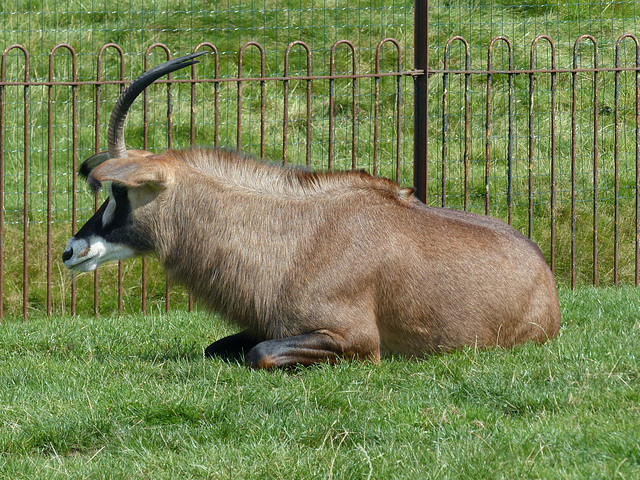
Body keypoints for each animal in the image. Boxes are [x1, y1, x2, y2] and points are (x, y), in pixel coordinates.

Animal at [62, 53, 556, 368]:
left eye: (121, 192)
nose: (71, 251)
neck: (296, 239)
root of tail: (545, 275)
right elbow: (217, 347)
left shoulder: (355, 339)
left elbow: (259, 354)